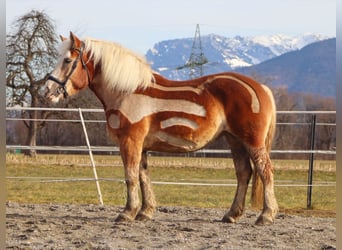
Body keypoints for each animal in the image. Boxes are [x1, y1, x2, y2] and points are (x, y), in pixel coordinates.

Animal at [44, 32, 278, 226]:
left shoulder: (130, 141)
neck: (128, 91)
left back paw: (266, 215)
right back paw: (232, 214)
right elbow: (143, 176)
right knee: (244, 173)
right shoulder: (141, 146)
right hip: (234, 140)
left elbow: (130, 176)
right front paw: (145, 212)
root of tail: (261, 87)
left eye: (67, 60)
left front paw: (127, 213)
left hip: (252, 142)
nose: (47, 91)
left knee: (265, 171)